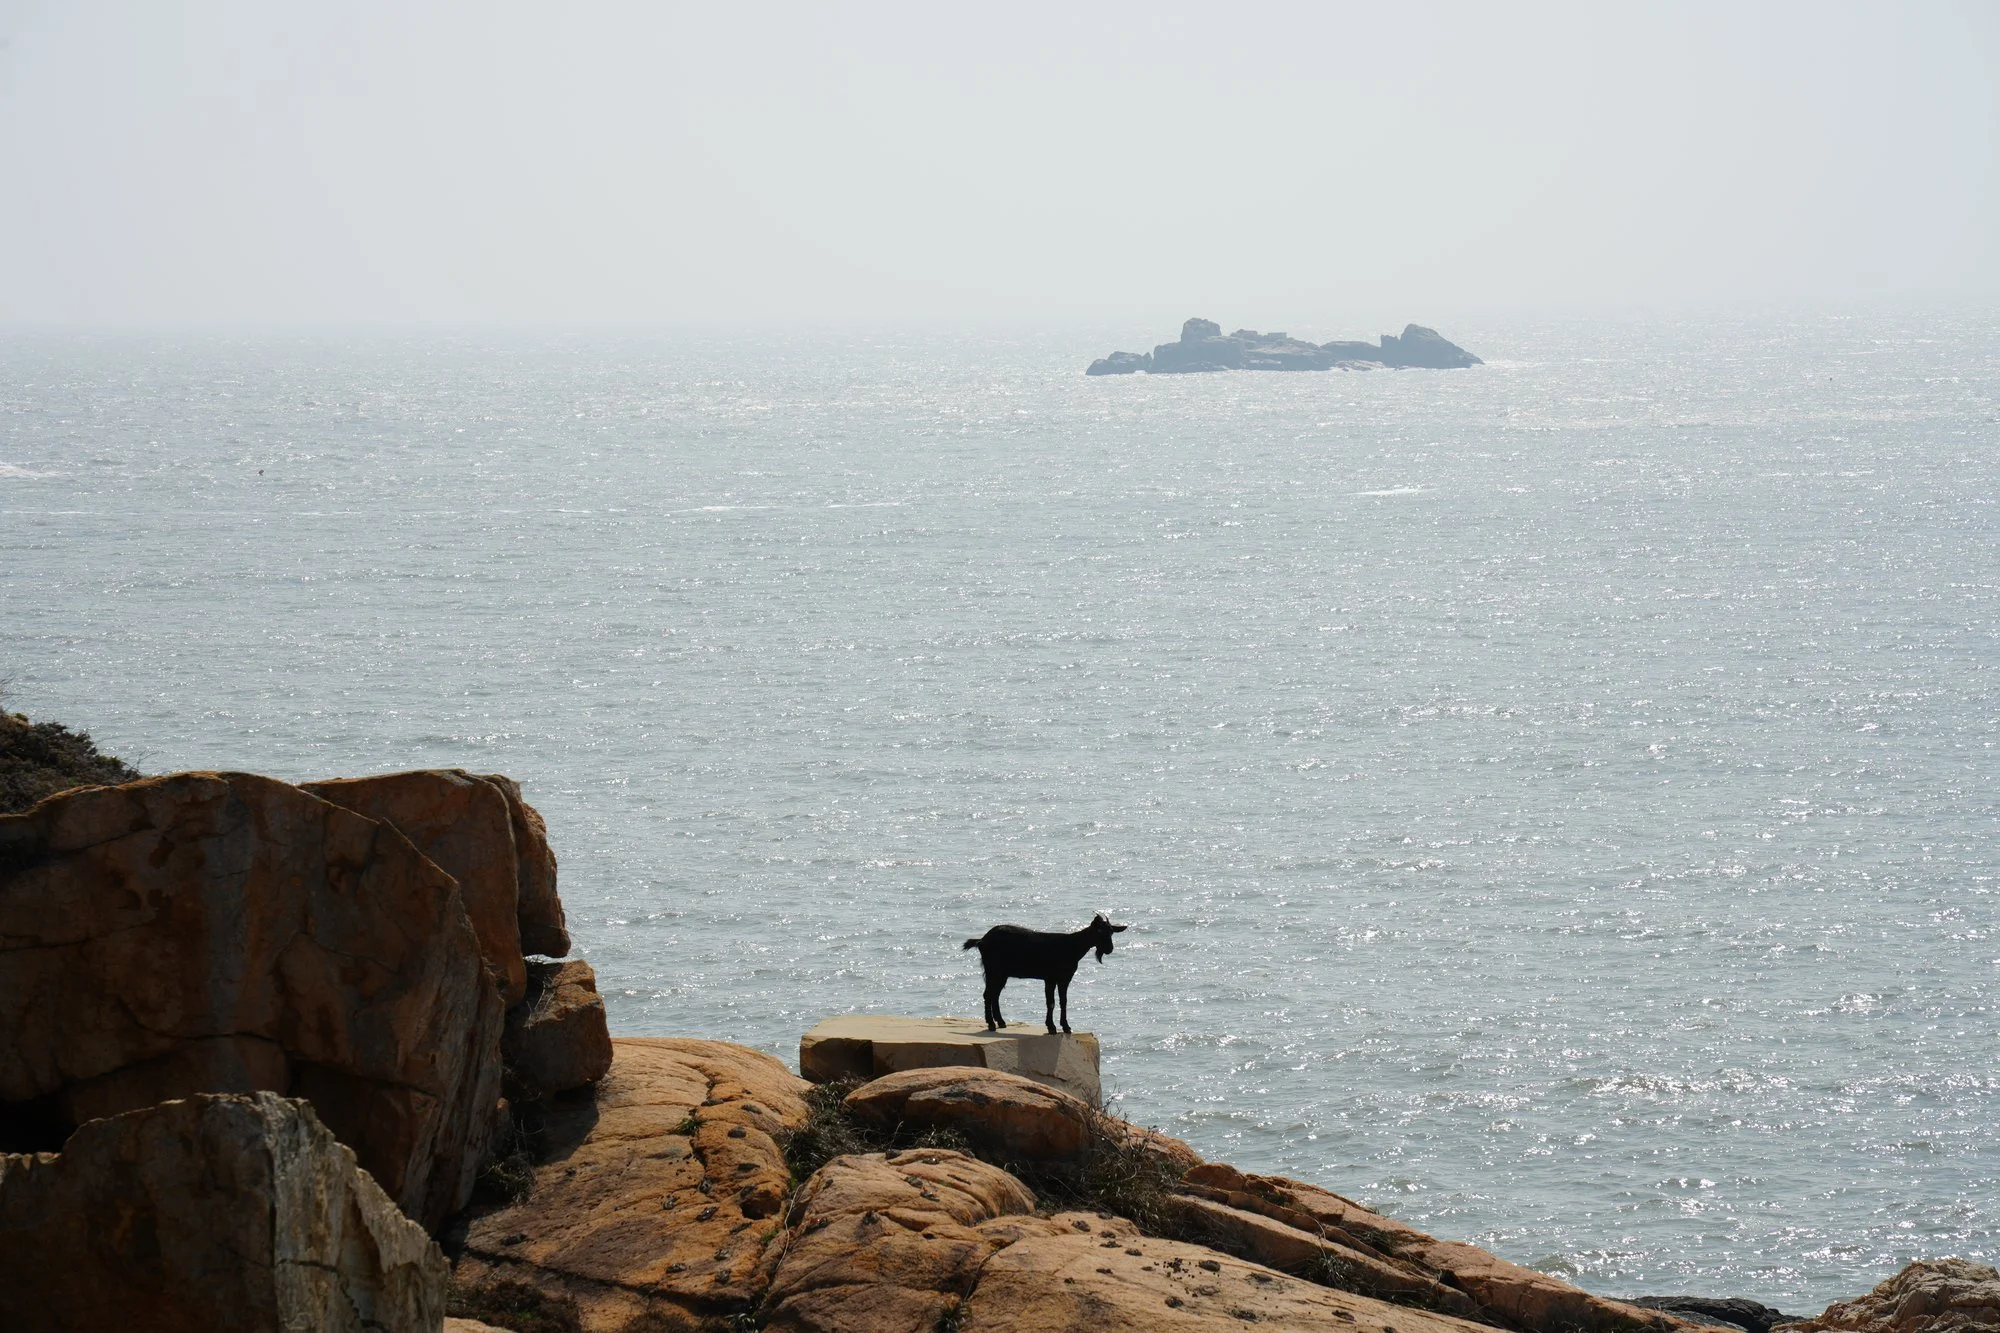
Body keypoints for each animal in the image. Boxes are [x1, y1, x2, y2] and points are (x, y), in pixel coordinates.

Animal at [961, 912, 1129, 1034]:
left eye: (1111, 932)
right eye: (1099, 930)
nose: (1109, 949)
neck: (1072, 946)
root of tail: (982, 940)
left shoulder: (1065, 979)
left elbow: (1063, 1001)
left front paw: (1066, 1027)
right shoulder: (1050, 978)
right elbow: (1051, 1002)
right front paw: (1052, 1027)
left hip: (1002, 974)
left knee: (995, 994)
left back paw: (1001, 1023)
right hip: (993, 970)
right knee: (988, 994)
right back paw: (991, 1024)